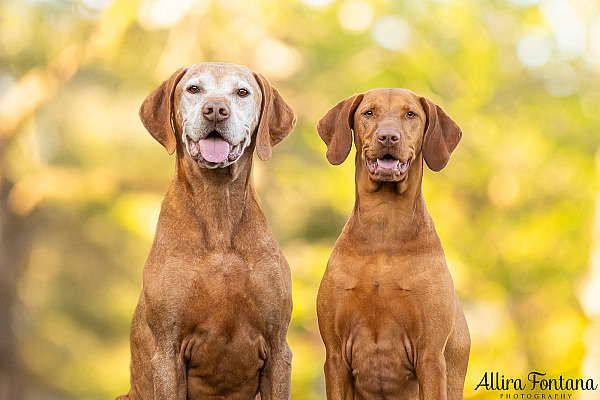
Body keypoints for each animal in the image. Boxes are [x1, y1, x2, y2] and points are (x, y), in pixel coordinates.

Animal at [316, 89, 472, 398]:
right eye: (369, 112)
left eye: (410, 114)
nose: (388, 137)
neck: (383, 230)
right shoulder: (335, 356)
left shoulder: (430, 356)